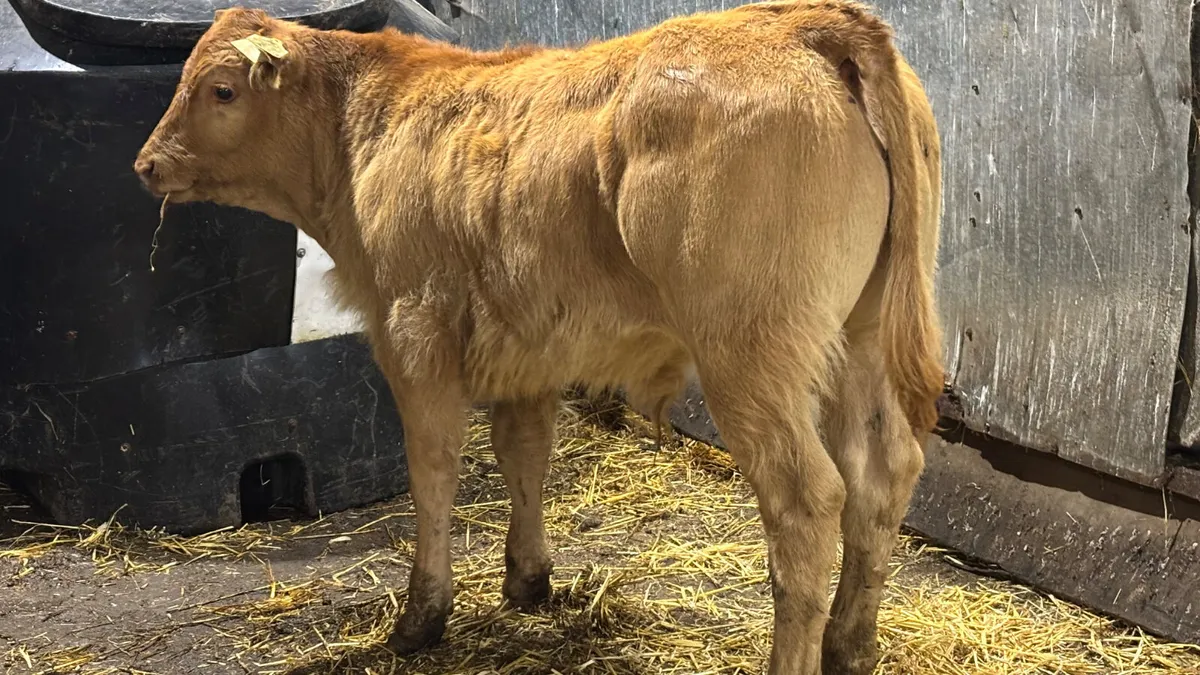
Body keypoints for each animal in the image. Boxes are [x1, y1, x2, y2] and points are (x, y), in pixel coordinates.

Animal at [133, 2, 943, 673]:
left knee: (808, 500)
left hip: (751, 351)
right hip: (860, 335)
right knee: (883, 472)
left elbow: (434, 470)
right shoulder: (526, 344)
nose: (146, 163)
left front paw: (423, 614)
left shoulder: (413, 334)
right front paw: (527, 578)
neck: (365, 127)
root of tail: (806, 21)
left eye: (222, 91)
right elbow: (524, 453)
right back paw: (850, 646)